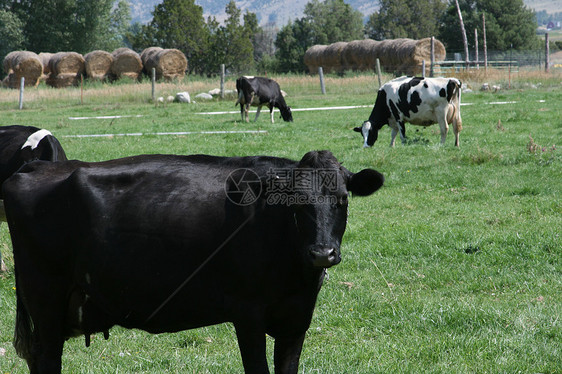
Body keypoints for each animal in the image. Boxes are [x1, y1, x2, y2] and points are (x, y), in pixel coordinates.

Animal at [3, 150, 380, 372]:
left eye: (343, 199)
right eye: (296, 203)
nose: (322, 253)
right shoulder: (247, 313)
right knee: (46, 359)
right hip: (45, 299)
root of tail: (37, 167)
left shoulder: (296, 319)